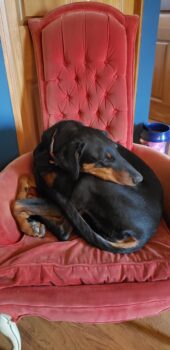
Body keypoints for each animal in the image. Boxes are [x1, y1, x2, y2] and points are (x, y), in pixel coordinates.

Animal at [30, 119, 162, 253]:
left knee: (64, 231)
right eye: (105, 160)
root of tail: (143, 236)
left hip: (88, 180)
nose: (139, 179)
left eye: (117, 151)